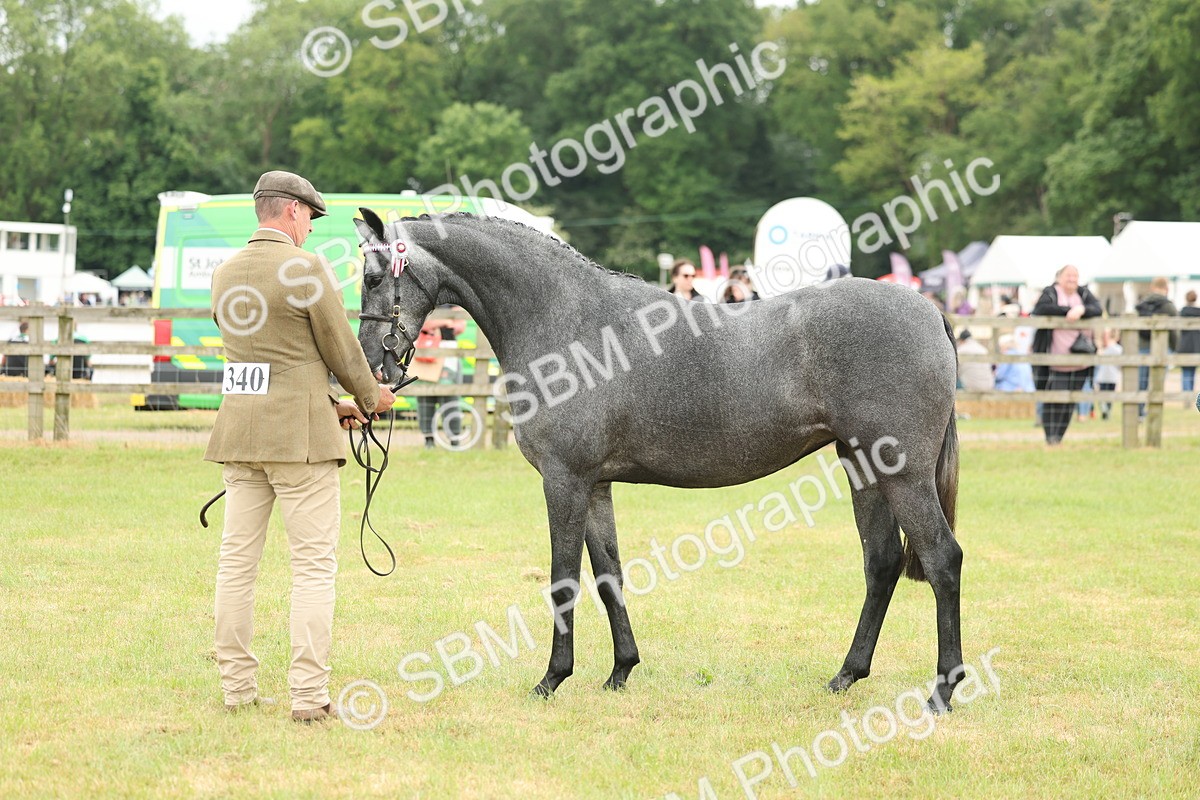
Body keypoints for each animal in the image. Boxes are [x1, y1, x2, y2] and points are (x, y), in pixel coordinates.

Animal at [353, 209, 964, 712]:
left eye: (373, 277)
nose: (374, 367)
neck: (565, 319)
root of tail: (929, 312)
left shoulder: (564, 480)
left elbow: (563, 579)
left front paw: (551, 679)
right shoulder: (595, 485)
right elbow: (608, 575)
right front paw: (620, 671)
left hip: (904, 473)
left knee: (942, 559)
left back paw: (942, 690)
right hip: (865, 470)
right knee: (881, 564)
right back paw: (846, 675)